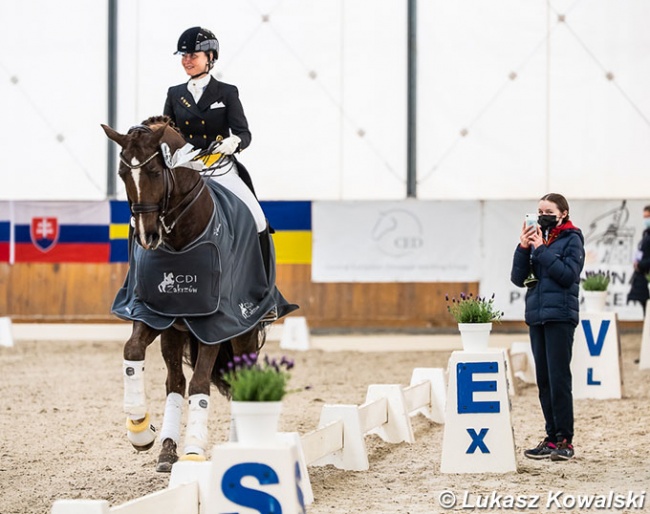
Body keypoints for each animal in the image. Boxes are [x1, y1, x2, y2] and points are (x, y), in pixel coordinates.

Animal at [100, 116, 294, 472]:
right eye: (122, 174)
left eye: (155, 171)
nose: (147, 236)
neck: (181, 238)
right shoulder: (153, 314)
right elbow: (133, 352)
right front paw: (140, 429)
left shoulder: (215, 322)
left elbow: (201, 384)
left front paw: (193, 451)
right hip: (174, 332)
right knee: (175, 384)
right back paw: (167, 448)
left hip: (244, 331)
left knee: (238, 379)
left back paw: (239, 445)